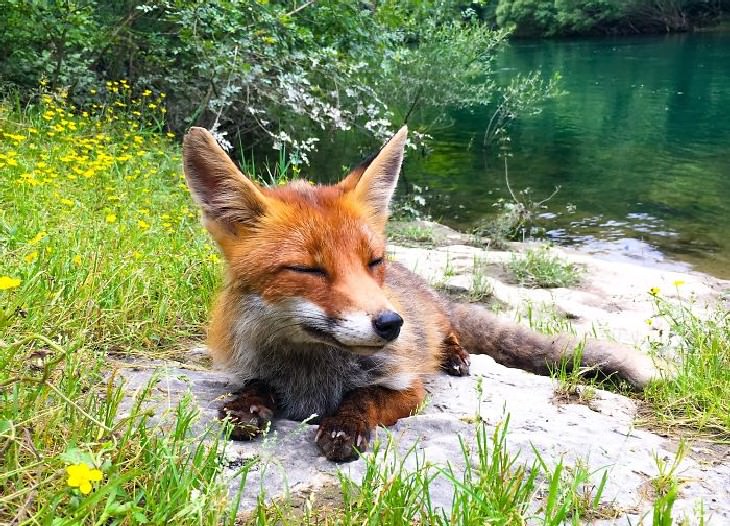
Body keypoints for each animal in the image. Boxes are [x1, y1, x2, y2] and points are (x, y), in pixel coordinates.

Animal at [182, 126, 660, 464]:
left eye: (373, 261)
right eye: (308, 269)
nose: (391, 324)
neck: (312, 373)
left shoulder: (408, 387)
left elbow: (365, 397)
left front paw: (344, 426)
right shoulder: (246, 366)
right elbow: (255, 385)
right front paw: (247, 405)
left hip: (435, 323)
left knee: (451, 333)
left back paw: (456, 357)